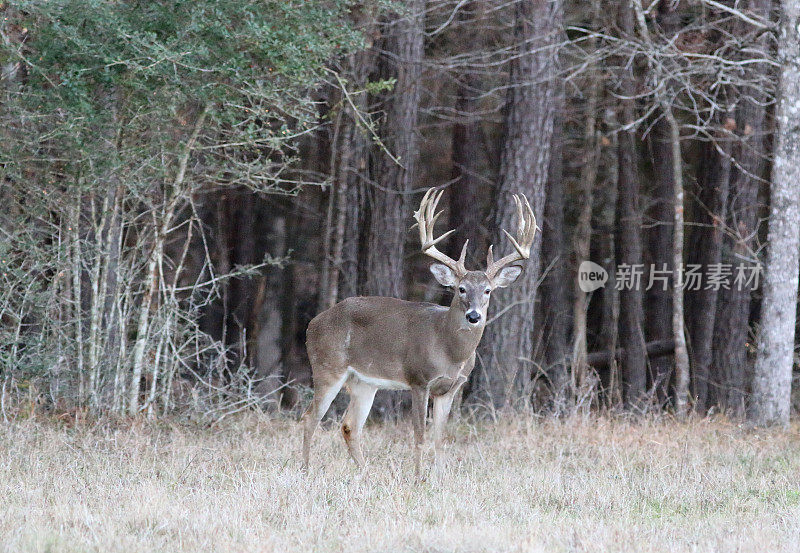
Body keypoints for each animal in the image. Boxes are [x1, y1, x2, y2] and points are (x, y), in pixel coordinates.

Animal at [304, 188, 536, 472]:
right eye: (461, 289)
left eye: (488, 291)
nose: (473, 316)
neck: (450, 351)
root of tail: (313, 323)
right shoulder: (419, 379)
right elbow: (419, 436)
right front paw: (418, 477)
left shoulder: (451, 388)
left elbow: (440, 439)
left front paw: (438, 476)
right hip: (328, 367)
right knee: (310, 417)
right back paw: (305, 469)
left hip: (364, 382)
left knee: (349, 426)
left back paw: (365, 472)